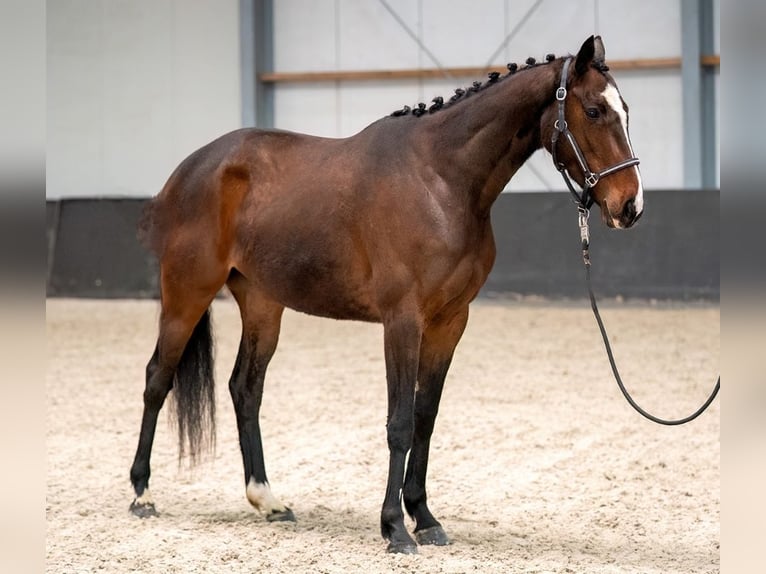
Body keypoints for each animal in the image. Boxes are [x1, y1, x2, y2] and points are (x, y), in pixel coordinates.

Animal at [129, 35, 643, 554]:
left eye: (626, 111)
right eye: (595, 111)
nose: (630, 206)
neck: (441, 180)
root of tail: (192, 168)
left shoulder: (449, 323)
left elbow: (424, 418)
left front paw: (425, 518)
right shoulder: (403, 321)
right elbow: (399, 424)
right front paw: (395, 527)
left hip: (262, 303)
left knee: (245, 389)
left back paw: (268, 500)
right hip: (187, 293)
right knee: (158, 379)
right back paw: (142, 493)